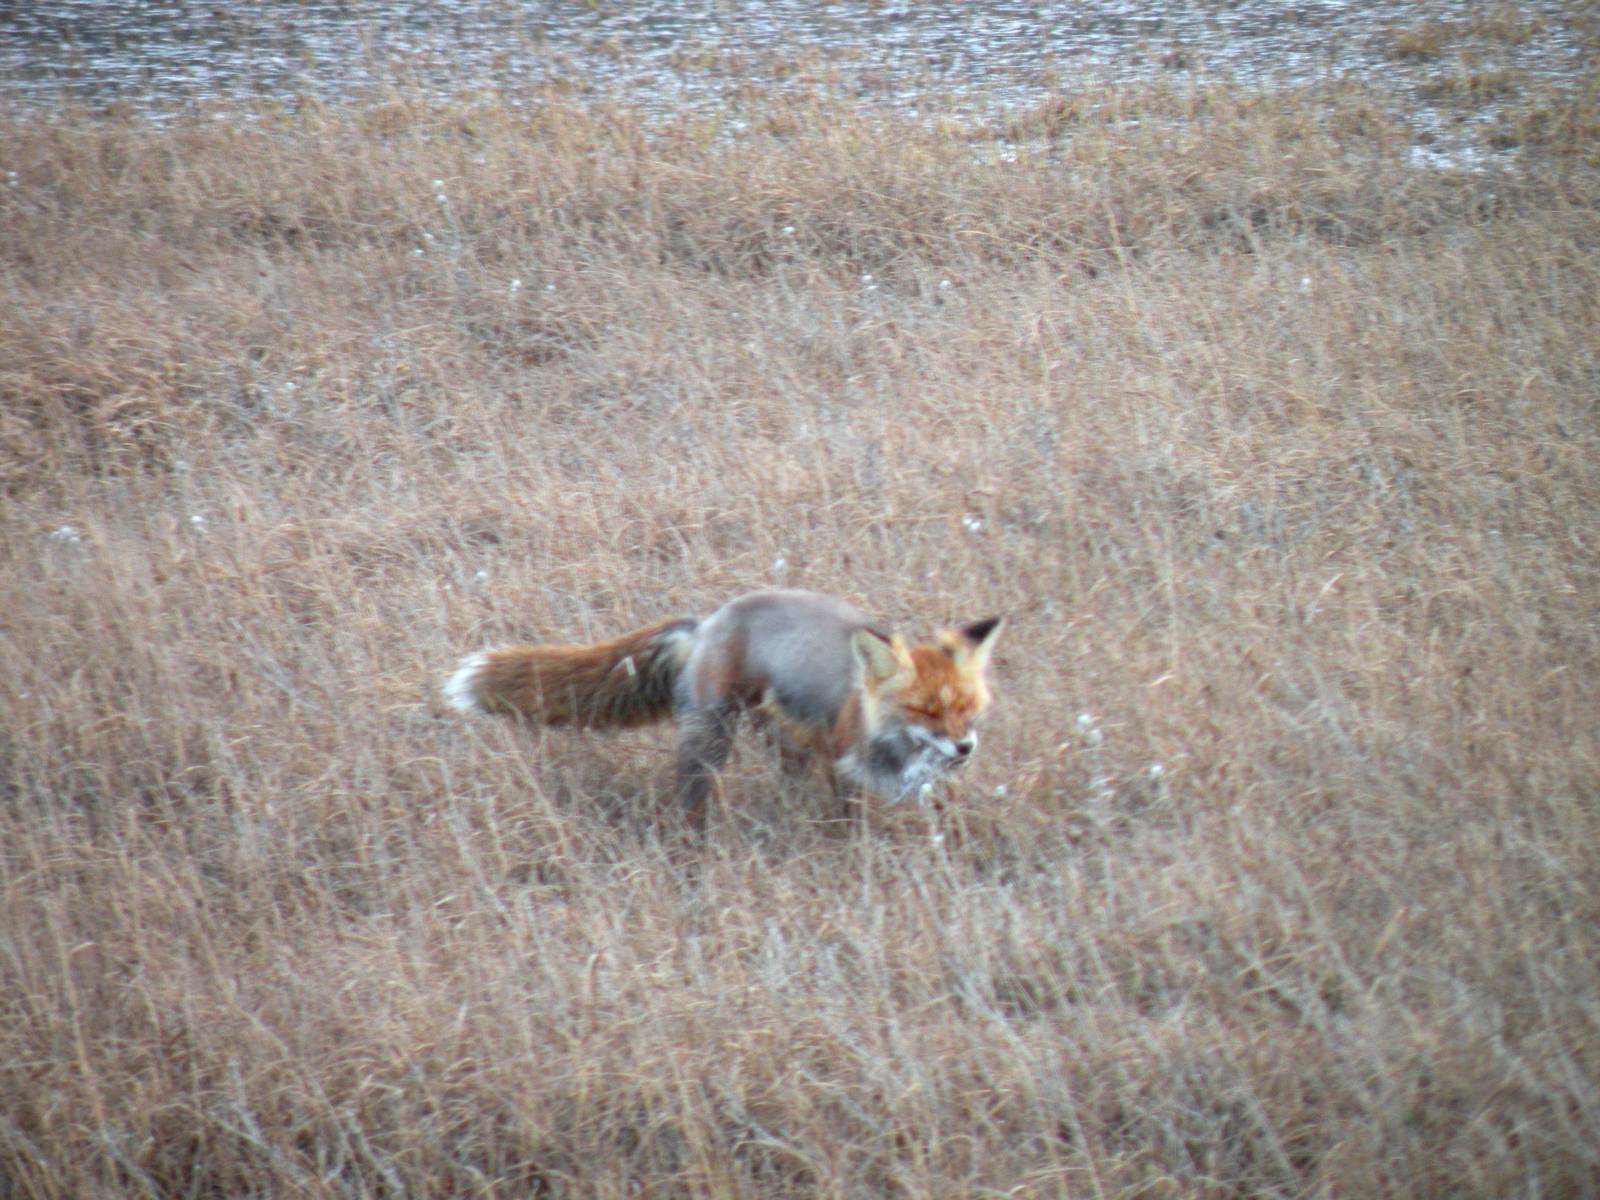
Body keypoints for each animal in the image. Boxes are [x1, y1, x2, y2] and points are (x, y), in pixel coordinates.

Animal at [443, 589, 1002, 824]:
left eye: (966, 708)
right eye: (926, 711)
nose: (965, 748)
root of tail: (710, 620)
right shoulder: (846, 766)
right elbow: (851, 818)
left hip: (781, 735)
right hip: (712, 737)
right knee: (693, 792)